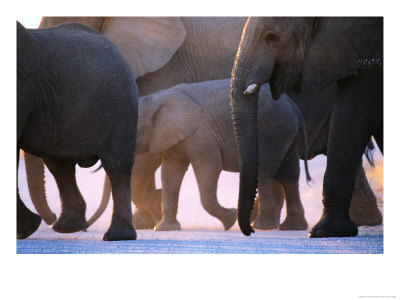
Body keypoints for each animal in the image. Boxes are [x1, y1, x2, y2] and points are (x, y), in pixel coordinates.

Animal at [83, 78, 312, 231]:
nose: (85, 227)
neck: (159, 98)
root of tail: (295, 108)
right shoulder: (175, 138)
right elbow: (170, 174)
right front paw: (164, 229)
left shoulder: (202, 133)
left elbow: (208, 169)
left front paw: (230, 220)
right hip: (284, 132)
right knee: (289, 176)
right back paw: (293, 227)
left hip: (271, 131)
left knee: (265, 173)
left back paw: (262, 225)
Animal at [230, 16, 382, 238]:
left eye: (272, 37)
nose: (250, 232)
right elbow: (350, 117)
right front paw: (330, 231)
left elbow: (352, 116)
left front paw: (321, 232)